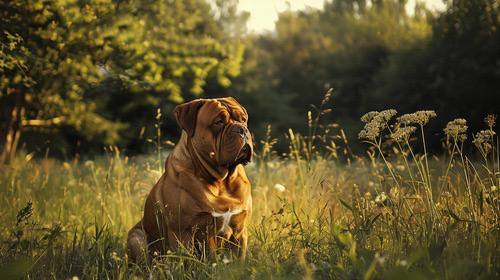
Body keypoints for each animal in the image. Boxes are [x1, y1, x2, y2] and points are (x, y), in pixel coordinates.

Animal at [128, 97, 254, 262]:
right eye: (218, 122)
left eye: (243, 120)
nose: (242, 129)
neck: (222, 182)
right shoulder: (184, 232)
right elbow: (189, 260)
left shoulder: (239, 231)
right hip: (136, 237)